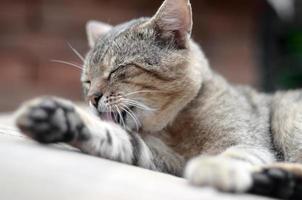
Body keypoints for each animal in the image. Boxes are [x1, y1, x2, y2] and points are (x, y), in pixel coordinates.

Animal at [14, 0, 302, 198]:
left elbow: (234, 155)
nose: (92, 98)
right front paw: (61, 120)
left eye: (117, 70)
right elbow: (120, 139)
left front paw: (216, 168)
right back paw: (277, 180)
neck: (175, 125)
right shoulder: (164, 159)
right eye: (87, 81)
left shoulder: (247, 141)